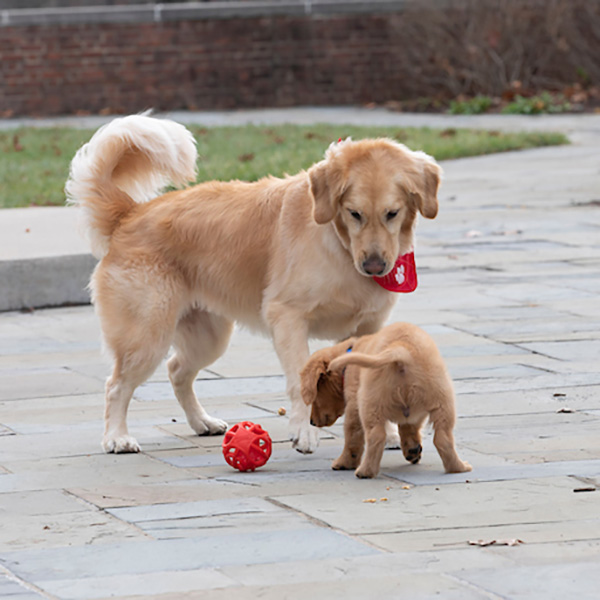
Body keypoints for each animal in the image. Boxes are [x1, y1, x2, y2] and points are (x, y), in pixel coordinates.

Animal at [65, 112, 440, 452]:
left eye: (392, 213)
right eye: (354, 213)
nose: (374, 266)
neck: (338, 245)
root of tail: (131, 213)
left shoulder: (368, 328)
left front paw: (386, 435)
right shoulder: (286, 316)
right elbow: (299, 382)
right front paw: (304, 432)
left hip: (208, 337)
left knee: (177, 370)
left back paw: (201, 422)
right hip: (147, 334)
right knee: (116, 385)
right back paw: (117, 437)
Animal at [302, 324, 472, 478]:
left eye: (315, 397)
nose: (311, 422)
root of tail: (401, 349)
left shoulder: (353, 405)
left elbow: (352, 439)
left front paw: (344, 463)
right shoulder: (414, 415)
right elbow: (408, 428)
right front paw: (412, 450)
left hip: (369, 403)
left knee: (375, 437)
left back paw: (365, 472)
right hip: (443, 401)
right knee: (443, 437)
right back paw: (459, 468)